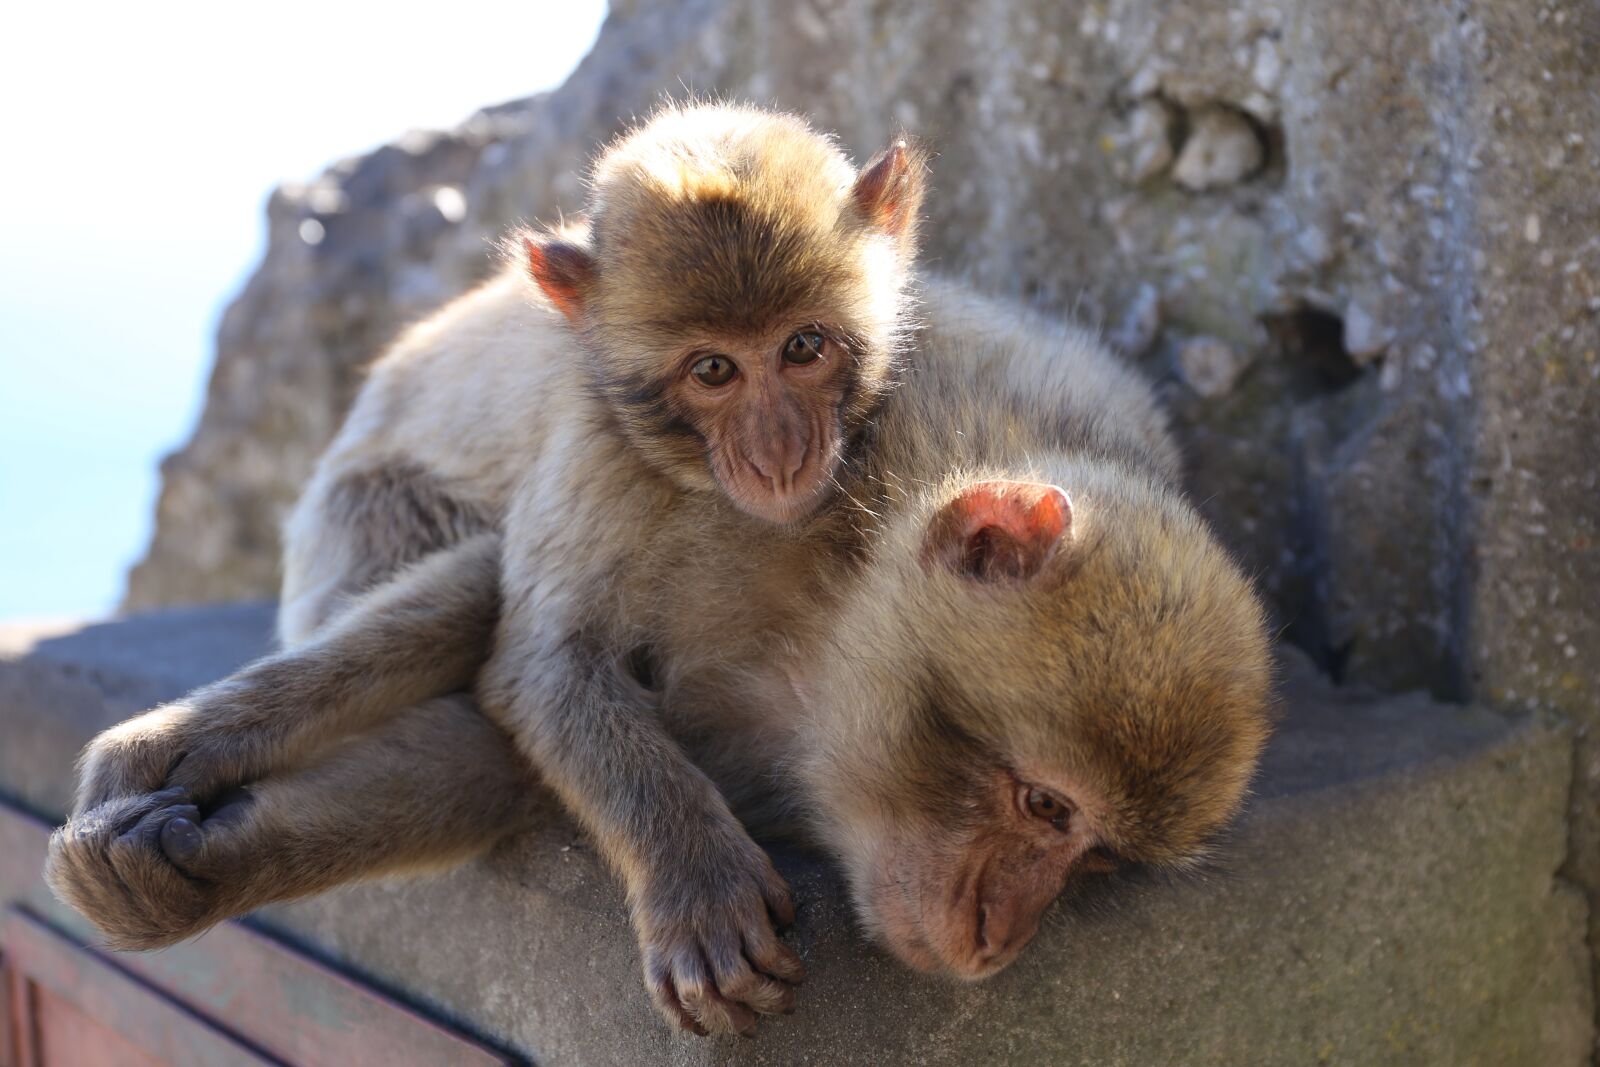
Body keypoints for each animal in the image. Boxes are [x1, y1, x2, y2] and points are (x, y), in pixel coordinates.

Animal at [46, 104, 1274, 1039]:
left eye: (1094, 856)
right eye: (1041, 802)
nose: (995, 938)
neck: (838, 599)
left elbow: (488, 742)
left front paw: (210, 855)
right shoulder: (648, 467)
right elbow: (528, 640)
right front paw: (169, 752)